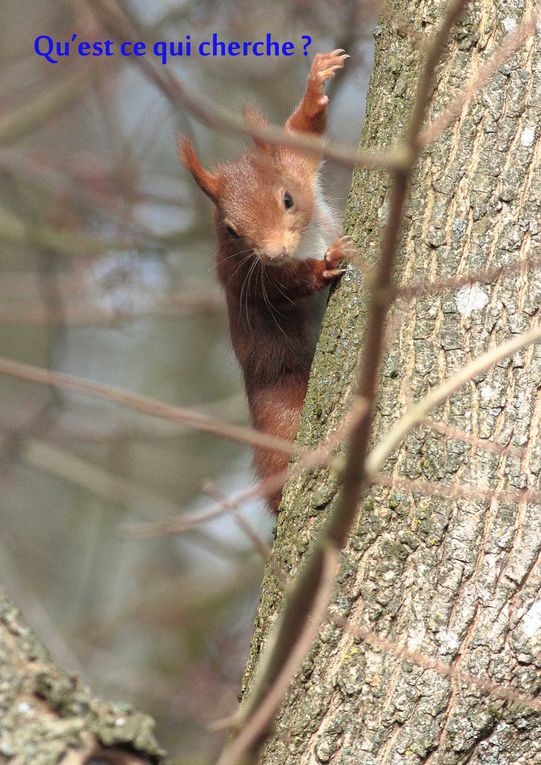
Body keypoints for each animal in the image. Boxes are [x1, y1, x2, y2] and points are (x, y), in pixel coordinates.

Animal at [179, 49, 352, 512]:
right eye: (231, 230)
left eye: (288, 198)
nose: (274, 253)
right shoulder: (243, 276)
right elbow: (282, 287)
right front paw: (323, 265)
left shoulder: (296, 163)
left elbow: (302, 133)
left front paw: (317, 83)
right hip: (285, 395)